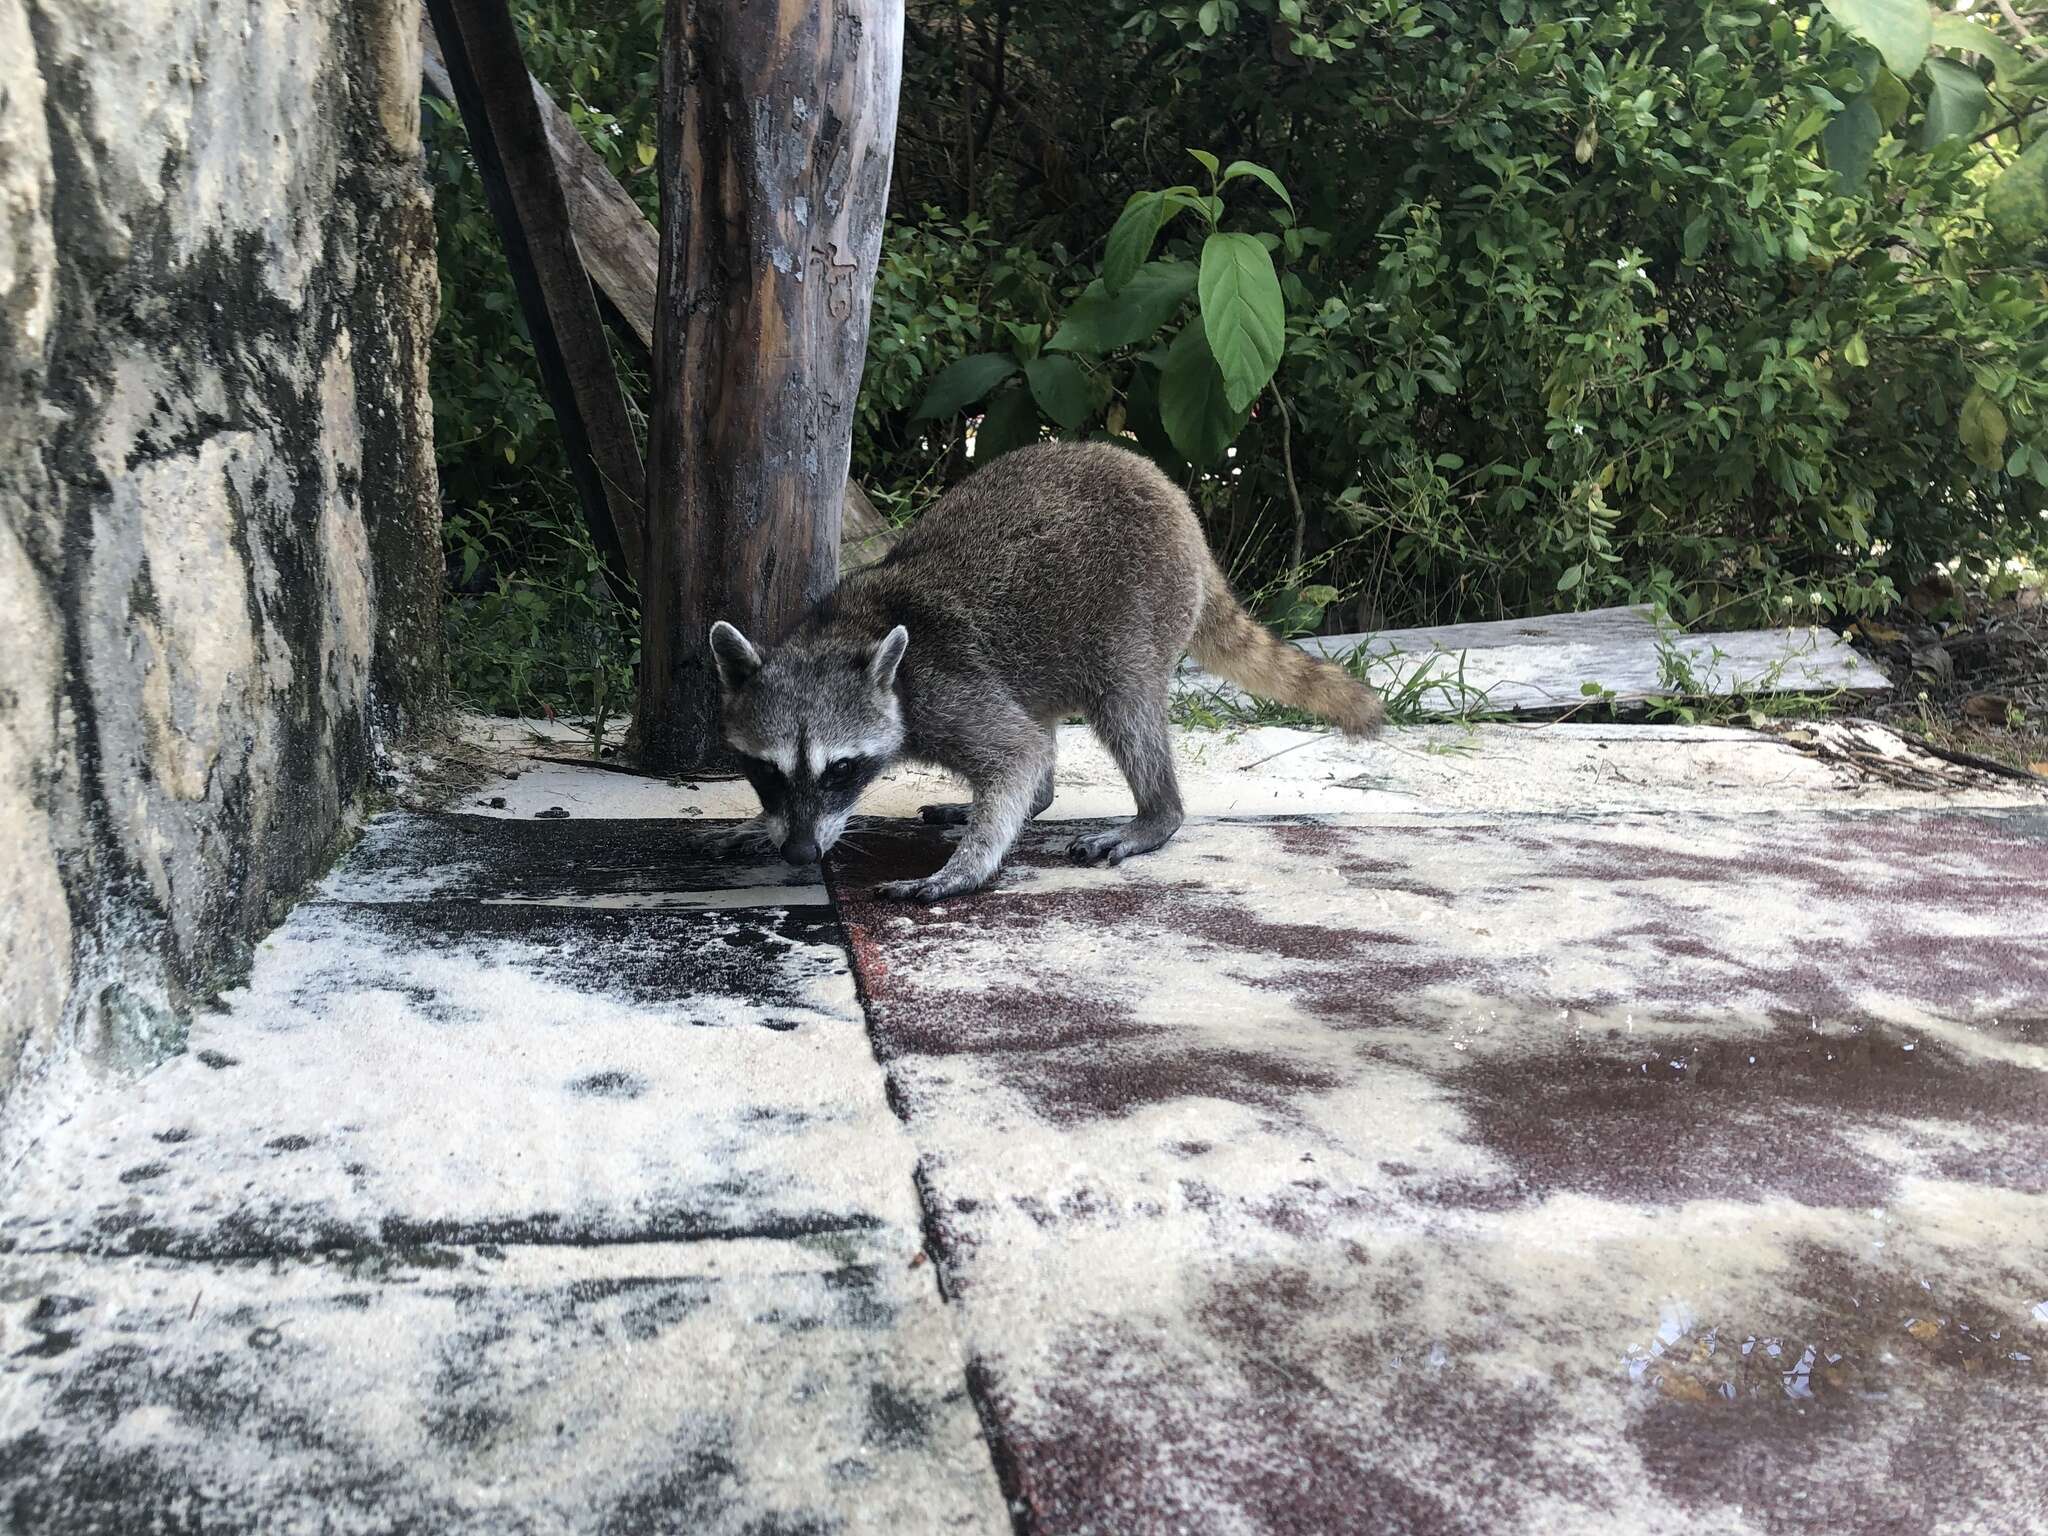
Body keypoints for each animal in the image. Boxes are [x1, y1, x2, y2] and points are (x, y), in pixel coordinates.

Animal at [712, 438, 1384, 901]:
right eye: (766, 771)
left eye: (840, 770)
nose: (801, 854)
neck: (841, 633)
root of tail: (1180, 507)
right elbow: (1026, 751)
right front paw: (764, 822)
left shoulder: (943, 690)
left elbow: (1016, 753)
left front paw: (969, 864)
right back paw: (1040, 799)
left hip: (1140, 607)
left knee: (1125, 709)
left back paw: (1155, 814)